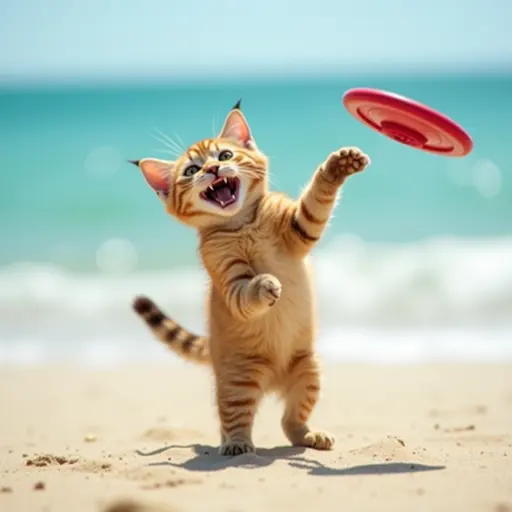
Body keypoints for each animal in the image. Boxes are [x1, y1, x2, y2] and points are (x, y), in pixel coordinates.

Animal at [130, 100, 370, 456]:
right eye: (190, 171)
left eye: (225, 155)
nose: (213, 170)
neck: (244, 223)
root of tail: (272, 380)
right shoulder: (228, 277)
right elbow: (245, 292)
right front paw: (265, 285)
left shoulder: (299, 228)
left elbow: (317, 199)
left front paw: (339, 165)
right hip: (238, 381)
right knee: (234, 419)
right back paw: (237, 445)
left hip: (308, 371)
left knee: (291, 420)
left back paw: (310, 435)